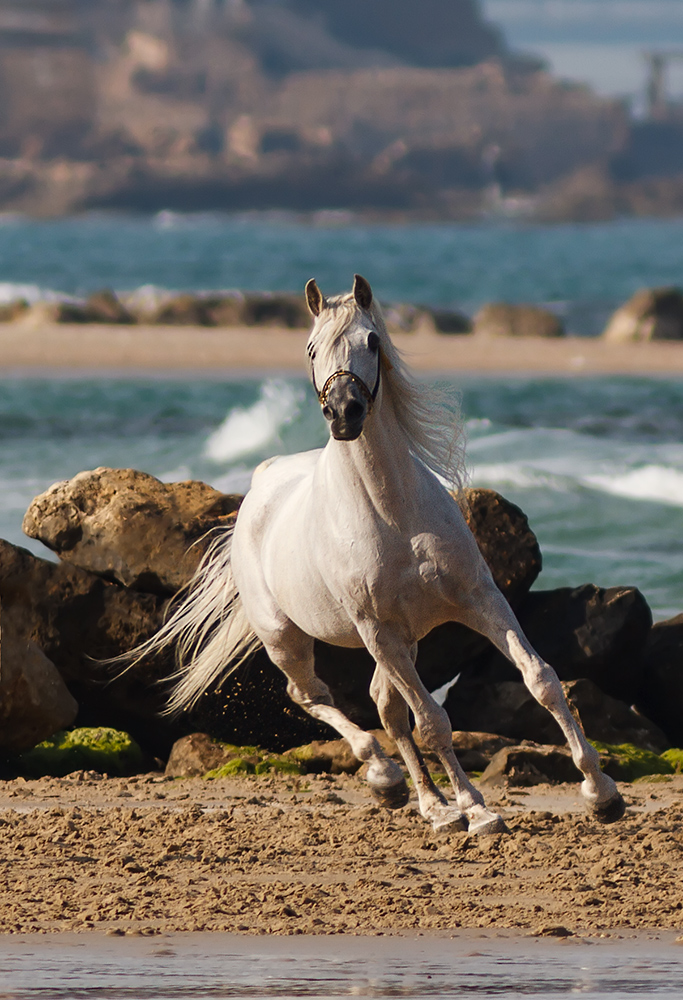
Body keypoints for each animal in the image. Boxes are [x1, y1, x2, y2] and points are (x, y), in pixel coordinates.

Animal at [143, 274, 624, 836]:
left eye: (372, 341)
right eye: (311, 349)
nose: (344, 412)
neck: (392, 512)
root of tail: (262, 481)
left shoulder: (480, 601)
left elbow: (541, 680)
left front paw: (601, 793)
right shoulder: (377, 629)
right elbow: (434, 722)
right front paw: (479, 811)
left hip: (404, 641)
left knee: (385, 708)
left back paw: (428, 802)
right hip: (291, 637)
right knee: (311, 696)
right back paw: (393, 780)